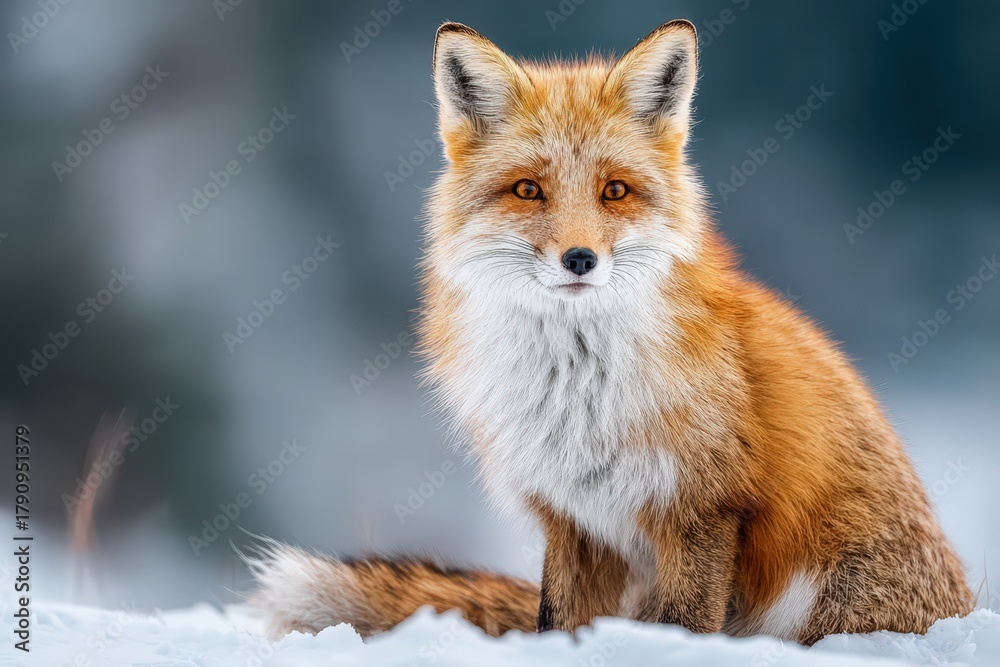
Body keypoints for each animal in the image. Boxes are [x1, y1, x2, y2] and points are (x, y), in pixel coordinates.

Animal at [248, 20, 973, 645]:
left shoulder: (701, 510)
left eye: (615, 191)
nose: (580, 259)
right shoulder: (573, 518)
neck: (579, 389)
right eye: (528, 190)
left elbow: (687, 625)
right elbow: (554, 622)